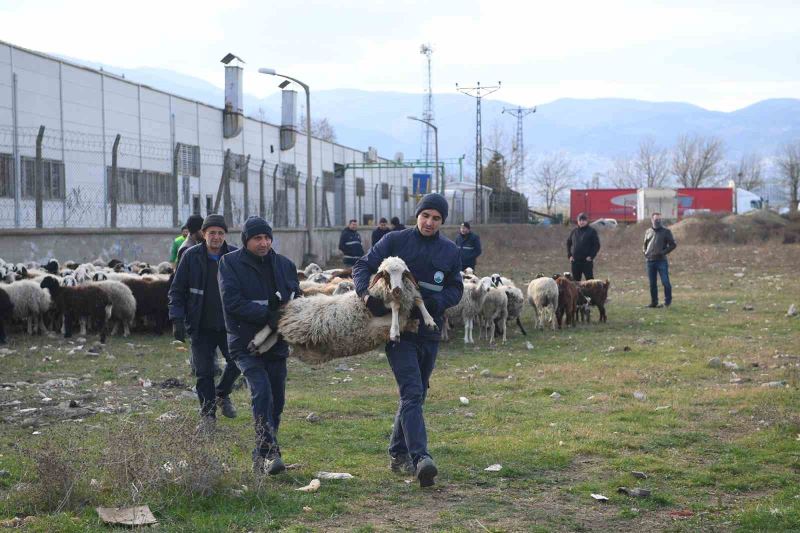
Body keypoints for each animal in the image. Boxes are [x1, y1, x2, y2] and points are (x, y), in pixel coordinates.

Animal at [250, 256, 438, 364]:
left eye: (404, 273)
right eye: (385, 274)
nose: (397, 290)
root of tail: (294, 302)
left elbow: (418, 300)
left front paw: (429, 321)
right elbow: (395, 307)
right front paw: (395, 332)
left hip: (294, 327)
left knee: (277, 332)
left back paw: (259, 347)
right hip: (295, 318)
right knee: (273, 323)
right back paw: (257, 340)